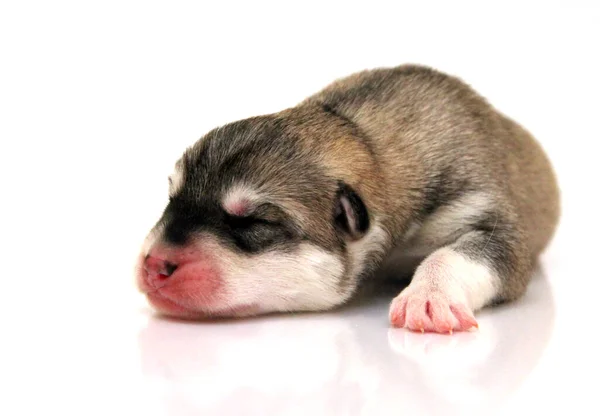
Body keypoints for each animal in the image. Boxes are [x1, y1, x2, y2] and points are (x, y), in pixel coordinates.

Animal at [134, 63, 560, 334]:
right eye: (171, 198)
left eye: (253, 222)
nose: (153, 264)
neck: (365, 139)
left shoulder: (485, 214)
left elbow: (461, 253)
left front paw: (429, 295)